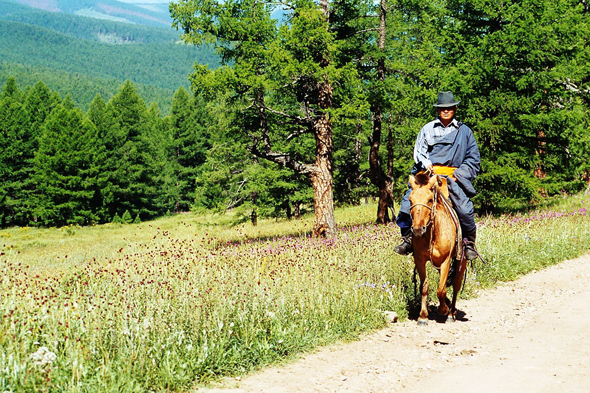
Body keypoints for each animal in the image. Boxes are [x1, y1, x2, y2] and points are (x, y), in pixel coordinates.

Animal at [412, 172, 468, 324]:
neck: (432, 234)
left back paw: (451, 312)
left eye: (430, 200)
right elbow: (424, 287)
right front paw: (423, 316)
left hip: (462, 261)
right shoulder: (419, 260)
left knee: (456, 285)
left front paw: (443, 310)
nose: (418, 229)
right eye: (410, 200)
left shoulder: (445, 261)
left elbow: (441, 289)